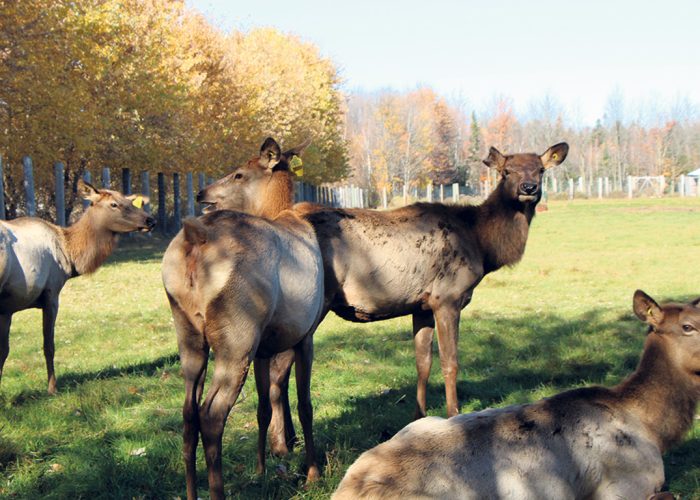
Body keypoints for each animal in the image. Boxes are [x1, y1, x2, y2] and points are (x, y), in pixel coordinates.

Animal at [0, 180, 154, 394]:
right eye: (114, 204)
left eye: (131, 202)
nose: (150, 220)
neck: (70, 256)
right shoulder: (51, 293)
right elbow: (49, 345)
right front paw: (52, 388)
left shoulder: (7, 308)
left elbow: (4, 352)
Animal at [161, 138, 322, 500]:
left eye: (238, 174)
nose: (202, 192)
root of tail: (194, 238)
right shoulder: (305, 334)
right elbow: (304, 405)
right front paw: (313, 474)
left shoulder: (265, 347)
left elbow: (264, 407)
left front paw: (261, 469)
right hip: (237, 336)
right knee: (212, 415)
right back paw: (217, 492)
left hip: (188, 331)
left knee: (188, 412)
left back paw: (192, 493)